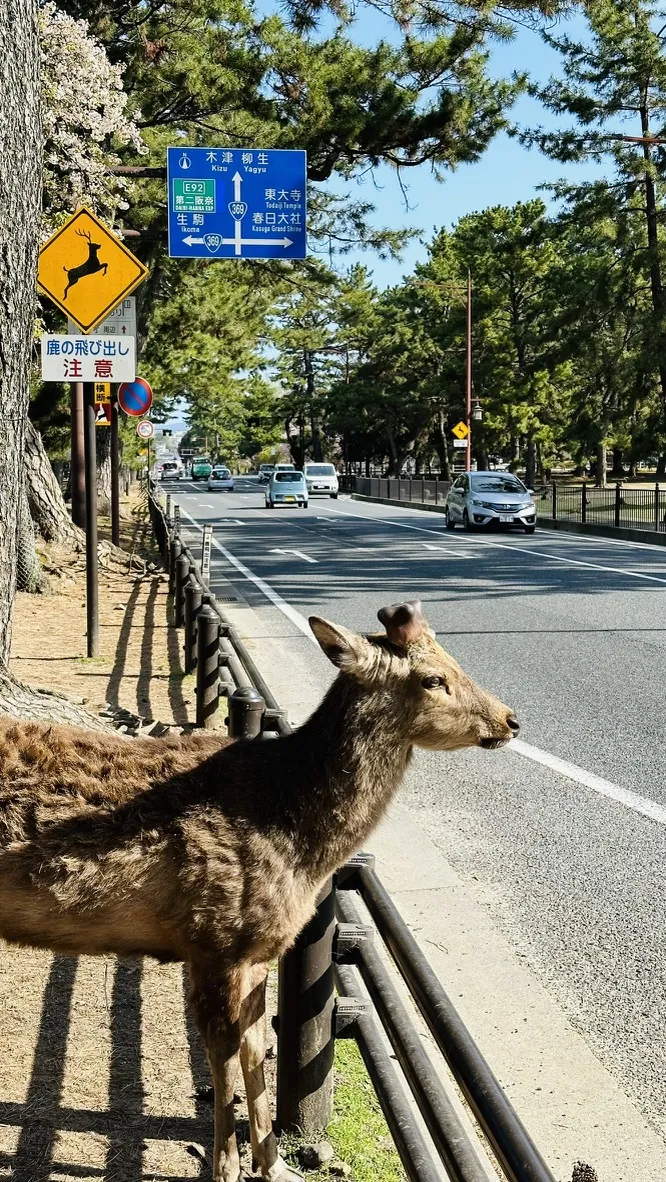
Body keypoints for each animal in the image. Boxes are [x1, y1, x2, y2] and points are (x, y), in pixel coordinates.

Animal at [0, 600, 518, 1182]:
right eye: (433, 678)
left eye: (454, 659)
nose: (510, 720)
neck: (298, 841)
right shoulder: (215, 941)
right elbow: (222, 1059)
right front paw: (226, 1167)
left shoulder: (256, 951)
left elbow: (257, 1049)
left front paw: (274, 1165)